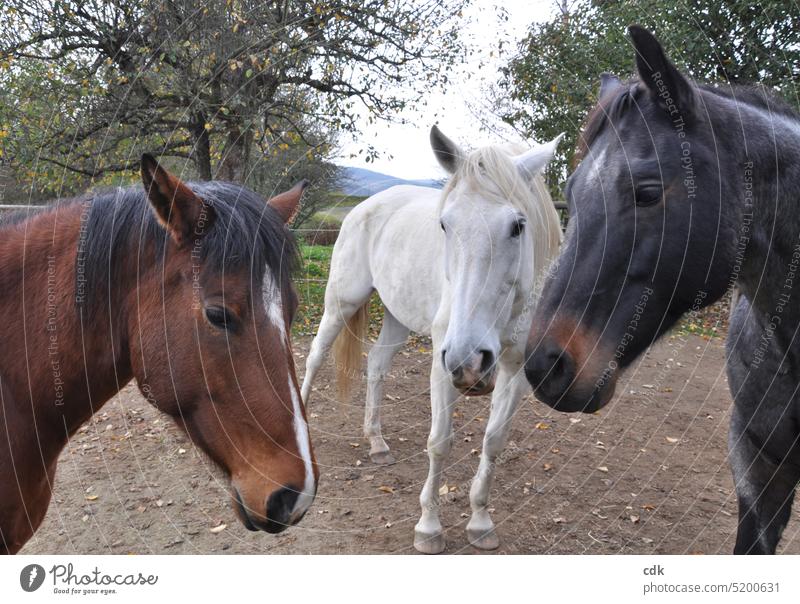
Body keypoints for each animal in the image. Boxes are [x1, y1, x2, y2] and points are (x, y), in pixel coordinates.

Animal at [300, 126, 564, 552]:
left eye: (518, 226)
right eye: (445, 225)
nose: (470, 359)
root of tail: (365, 206)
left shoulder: (515, 370)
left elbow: (494, 441)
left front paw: (480, 522)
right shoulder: (444, 365)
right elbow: (439, 442)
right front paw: (428, 527)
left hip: (396, 318)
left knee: (377, 364)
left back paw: (376, 443)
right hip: (342, 302)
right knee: (315, 356)